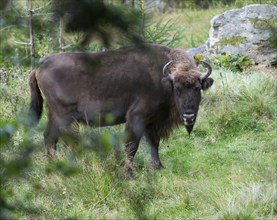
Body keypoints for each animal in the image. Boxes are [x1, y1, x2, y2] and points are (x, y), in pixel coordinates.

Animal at [29, 43, 212, 176]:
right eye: (178, 89)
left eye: (197, 88)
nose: (189, 116)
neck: (164, 79)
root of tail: (39, 66)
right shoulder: (136, 117)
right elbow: (132, 145)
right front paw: (128, 173)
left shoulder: (153, 122)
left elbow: (154, 143)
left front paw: (158, 167)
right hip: (66, 117)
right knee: (69, 142)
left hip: (53, 114)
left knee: (50, 138)